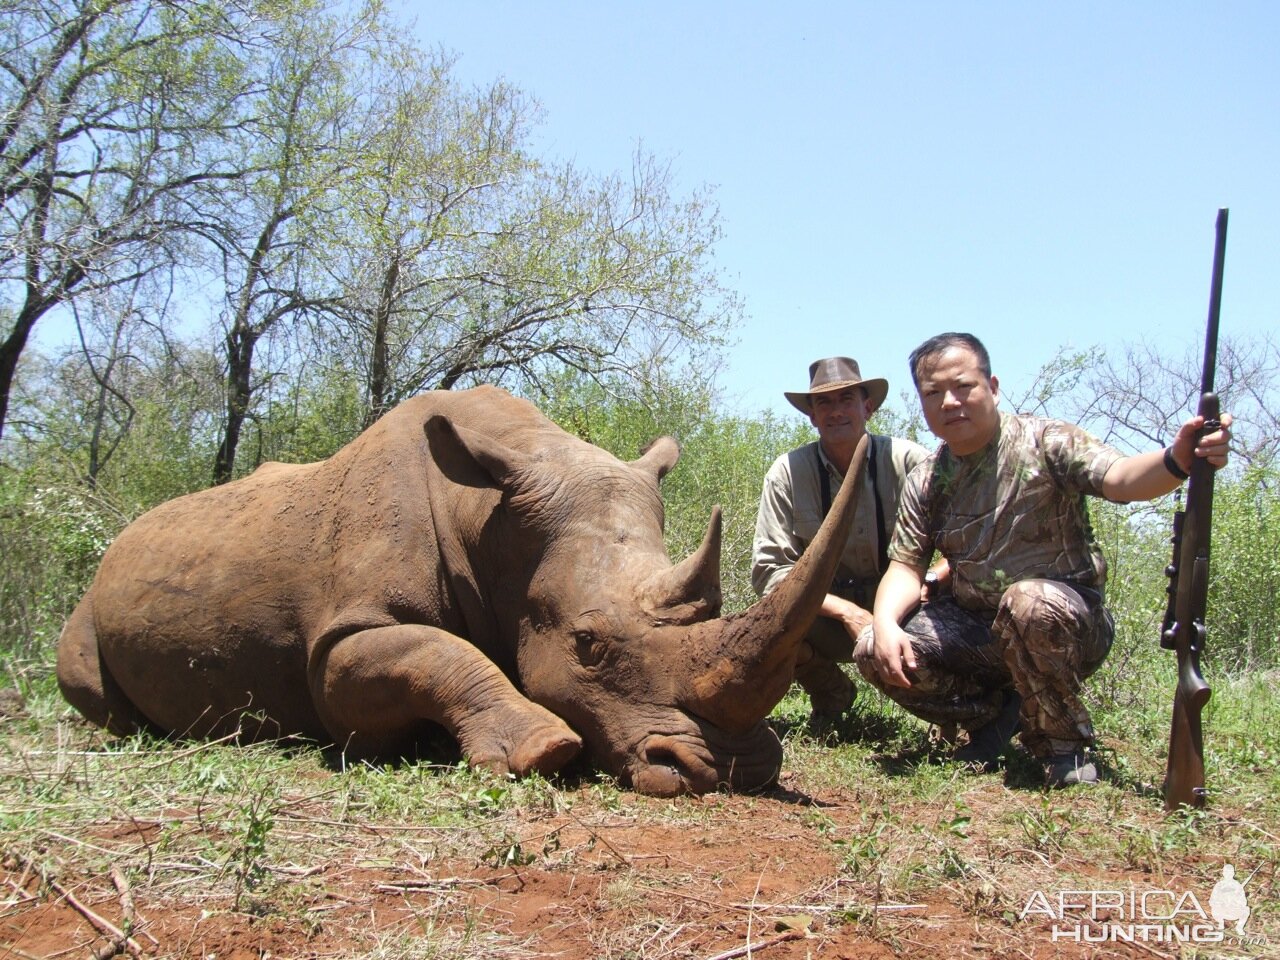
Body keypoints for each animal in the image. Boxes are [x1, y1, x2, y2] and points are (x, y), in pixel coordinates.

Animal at [55, 384, 865, 798]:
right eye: (587, 645)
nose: (731, 771)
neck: (491, 519)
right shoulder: (341, 641)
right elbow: (432, 654)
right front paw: (542, 750)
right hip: (91, 600)